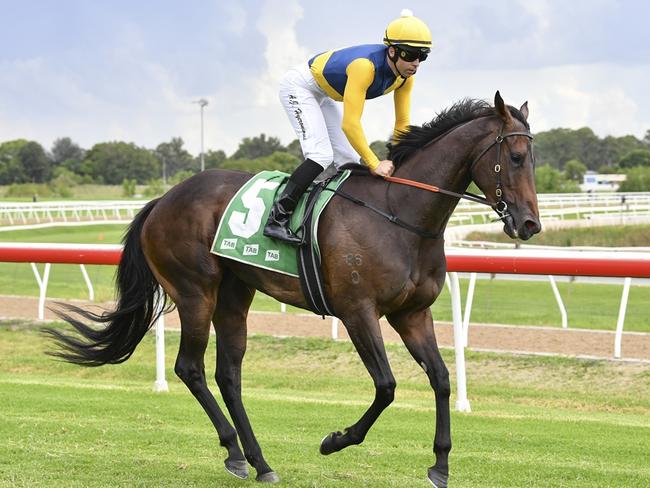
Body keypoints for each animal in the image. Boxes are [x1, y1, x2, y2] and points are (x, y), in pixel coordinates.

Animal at [45, 92, 540, 488]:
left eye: (534, 159)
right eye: (516, 157)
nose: (530, 224)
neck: (400, 214)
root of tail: (161, 201)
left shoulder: (412, 313)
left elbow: (440, 378)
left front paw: (439, 464)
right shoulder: (358, 312)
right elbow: (386, 386)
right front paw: (336, 440)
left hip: (235, 295)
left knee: (228, 374)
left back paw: (259, 461)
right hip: (195, 292)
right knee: (190, 368)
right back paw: (234, 452)